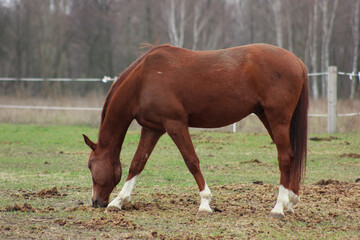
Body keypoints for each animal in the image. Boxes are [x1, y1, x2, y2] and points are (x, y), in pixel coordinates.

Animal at [83, 42, 308, 218]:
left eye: (90, 165)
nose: (96, 201)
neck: (143, 80)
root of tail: (297, 61)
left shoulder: (175, 124)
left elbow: (191, 161)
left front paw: (205, 203)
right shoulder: (152, 128)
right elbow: (137, 163)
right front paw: (118, 201)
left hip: (277, 119)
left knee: (285, 157)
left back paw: (279, 207)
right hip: (267, 117)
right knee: (291, 155)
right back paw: (291, 202)